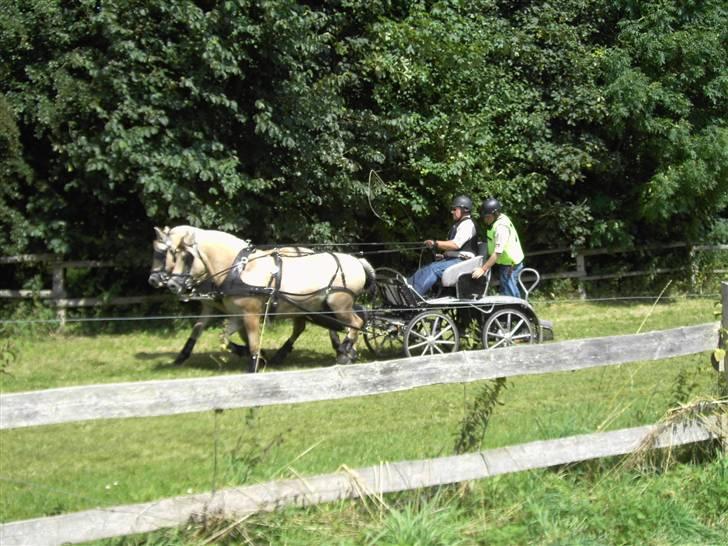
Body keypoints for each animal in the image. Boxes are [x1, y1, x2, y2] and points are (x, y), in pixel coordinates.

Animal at [166, 229, 376, 372]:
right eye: (174, 254)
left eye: (188, 257)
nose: (172, 285)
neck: (240, 269)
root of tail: (358, 262)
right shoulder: (236, 314)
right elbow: (224, 338)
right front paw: (253, 355)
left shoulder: (251, 313)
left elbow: (252, 341)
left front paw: (254, 365)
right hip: (320, 308)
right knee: (350, 323)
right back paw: (344, 352)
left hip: (339, 305)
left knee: (357, 323)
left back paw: (345, 352)